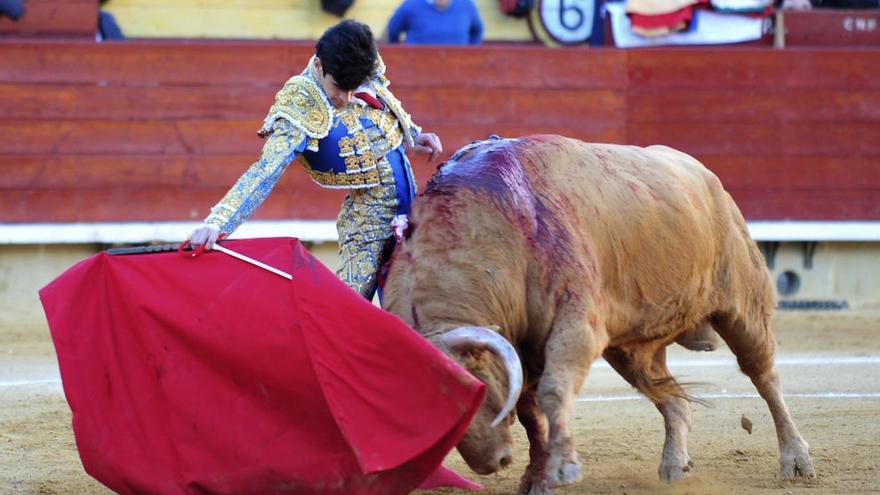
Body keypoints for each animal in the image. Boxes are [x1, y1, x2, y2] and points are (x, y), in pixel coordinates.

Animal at [384, 136, 820, 495]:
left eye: (476, 391)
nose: (494, 463)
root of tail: (706, 177)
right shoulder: (524, 350)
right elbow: (530, 414)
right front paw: (537, 478)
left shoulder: (576, 327)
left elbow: (553, 391)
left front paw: (563, 469)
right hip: (632, 347)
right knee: (672, 399)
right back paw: (674, 465)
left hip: (742, 305)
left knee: (764, 376)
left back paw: (796, 460)